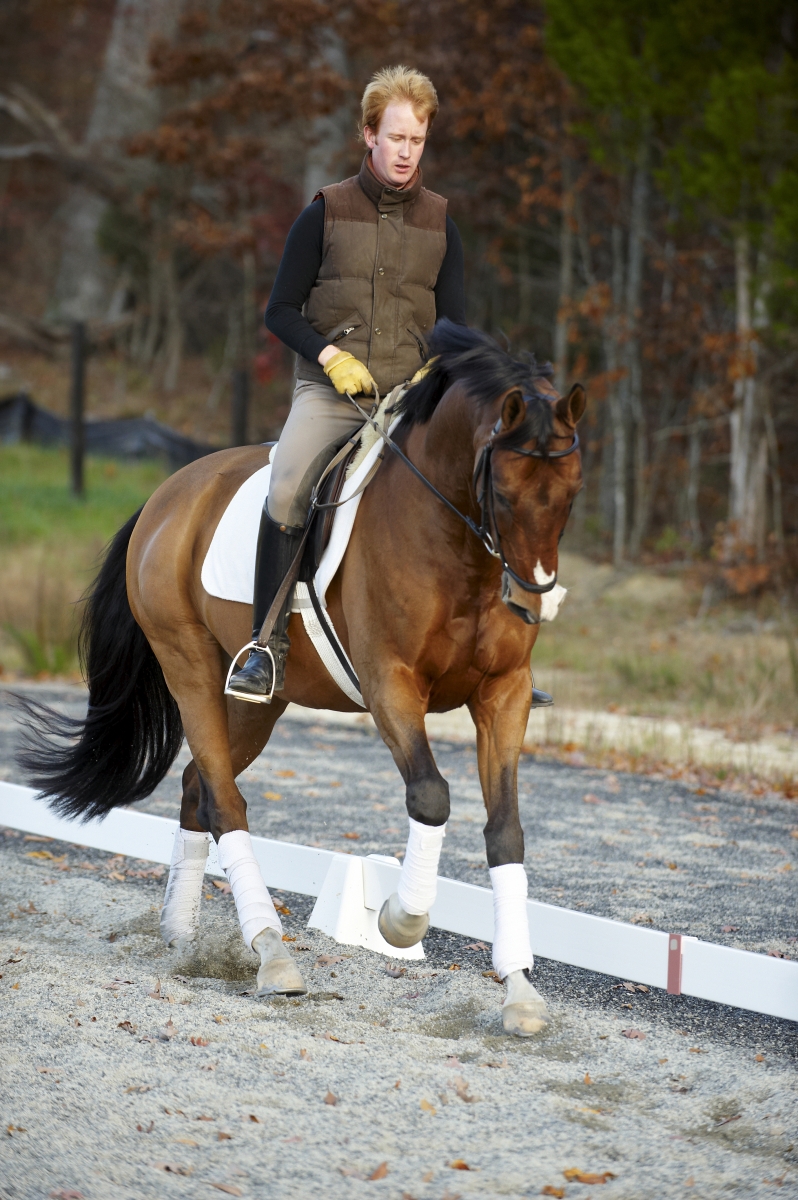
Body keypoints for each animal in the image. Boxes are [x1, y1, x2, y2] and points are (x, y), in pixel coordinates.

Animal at [19, 321, 585, 1037]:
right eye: (503, 493)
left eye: (571, 494)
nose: (534, 601)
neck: (457, 546)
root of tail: (172, 490)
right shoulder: (390, 683)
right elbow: (430, 796)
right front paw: (400, 922)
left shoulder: (504, 693)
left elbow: (506, 829)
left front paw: (520, 992)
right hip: (189, 666)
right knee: (225, 801)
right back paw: (273, 956)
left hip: (259, 701)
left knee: (199, 785)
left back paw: (181, 934)